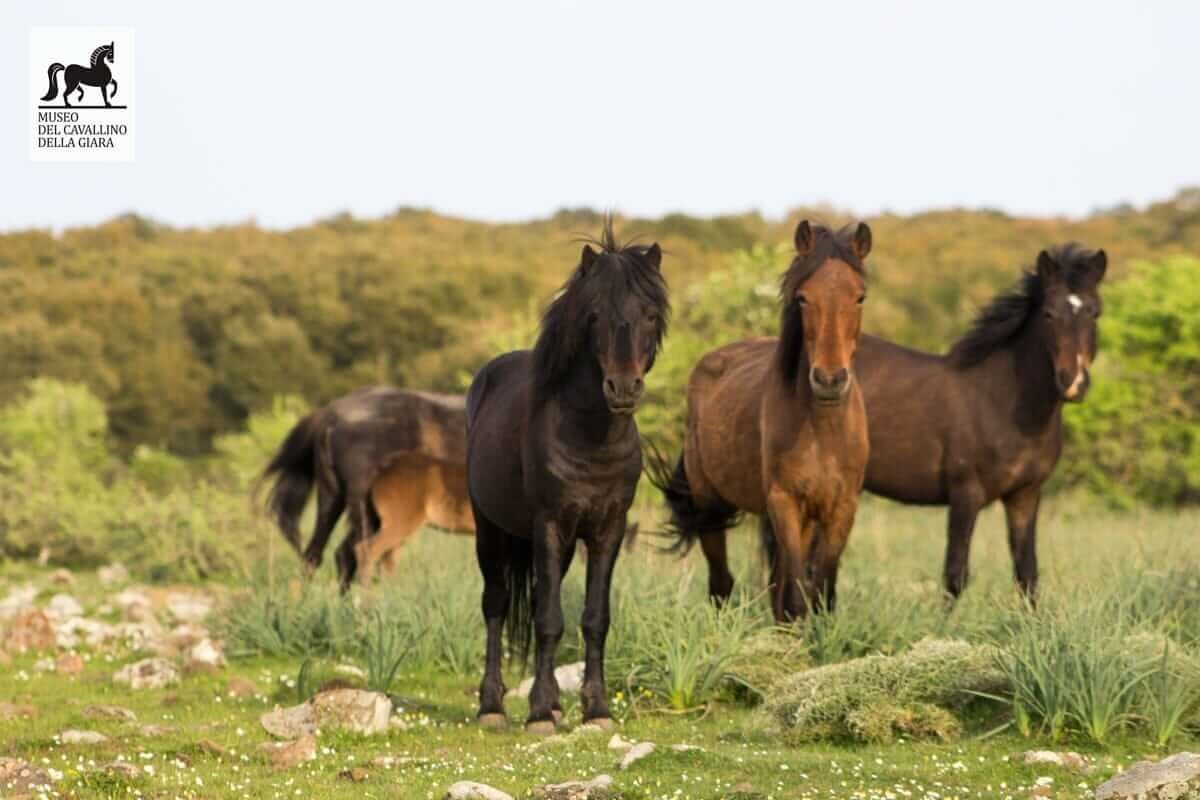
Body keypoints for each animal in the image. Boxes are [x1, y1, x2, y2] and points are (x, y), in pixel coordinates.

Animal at [465, 221, 672, 734]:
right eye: (595, 316)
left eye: (651, 315)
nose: (623, 388)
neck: (590, 437)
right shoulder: (550, 525)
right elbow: (548, 619)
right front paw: (539, 712)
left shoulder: (608, 529)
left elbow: (595, 618)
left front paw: (596, 710)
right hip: (489, 530)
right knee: (496, 604)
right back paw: (493, 706)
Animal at [657, 221, 873, 623]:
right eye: (802, 298)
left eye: (860, 297)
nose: (829, 380)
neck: (821, 430)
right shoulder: (784, 503)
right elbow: (797, 595)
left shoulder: (841, 508)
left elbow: (822, 591)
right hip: (710, 506)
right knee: (722, 582)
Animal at [854, 244, 1104, 599]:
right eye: (1048, 314)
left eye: (1095, 313)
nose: (1073, 383)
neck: (1002, 403)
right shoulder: (965, 495)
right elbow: (955, 576)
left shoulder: (1025, 495)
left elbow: (1027, 575)